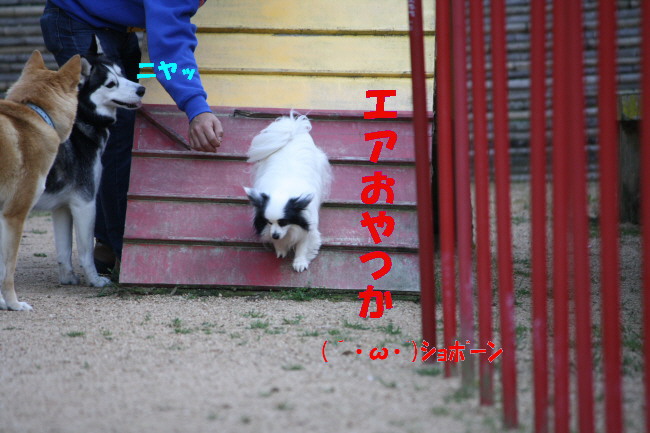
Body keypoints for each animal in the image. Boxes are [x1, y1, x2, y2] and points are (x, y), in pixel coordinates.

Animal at [32, 37, 145, 289]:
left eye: (122, 73)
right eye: (111, 84)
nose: (141, 89)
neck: (80, 120)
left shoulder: (62, 206)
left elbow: (64, 250)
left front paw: (67, 278)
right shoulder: (84, 202)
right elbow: (85, 252)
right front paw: (95, 280)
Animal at [244, 112, 332, 272]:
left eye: (284, 222)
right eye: (268, 222)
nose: (275, 235)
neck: (283, 190)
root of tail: (293, 128)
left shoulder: (308, 223)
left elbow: (303, 244)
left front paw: (300, 262)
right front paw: (280, 250)